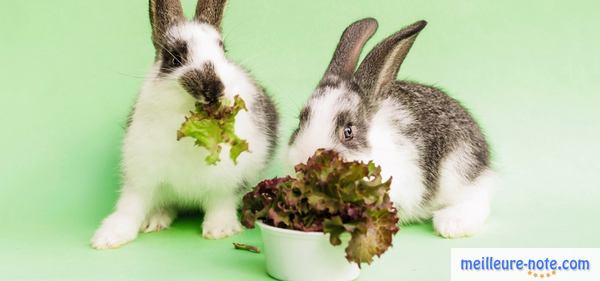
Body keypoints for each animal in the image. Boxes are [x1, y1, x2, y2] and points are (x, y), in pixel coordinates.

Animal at [91, 0, 278, 249]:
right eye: (175, 59)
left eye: (223, 52)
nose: (214, 90)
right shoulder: (141, 175)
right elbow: (130, 207)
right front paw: (107, 238)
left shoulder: (226, 183)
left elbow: (220, 204)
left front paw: (220, 230)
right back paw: (155, 220)